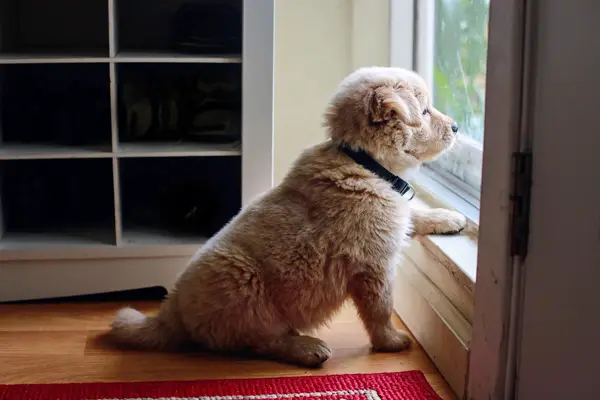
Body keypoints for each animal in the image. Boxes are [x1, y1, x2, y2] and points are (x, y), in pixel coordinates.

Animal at [112, 67, 468, 368]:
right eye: (424, 112)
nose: (456, 127)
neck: (363, 161)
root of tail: (170, 311)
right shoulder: (373, 264)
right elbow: (381, 308)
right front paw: (390, 341)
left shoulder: (392, 218)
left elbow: (414, 213)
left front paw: (449, 217)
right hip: (245, 286)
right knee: (259, 340)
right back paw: (306, 348)